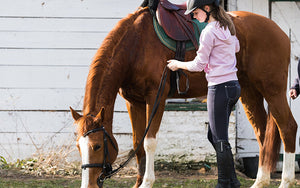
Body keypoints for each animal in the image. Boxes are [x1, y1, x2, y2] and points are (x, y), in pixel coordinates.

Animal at [70, 6, 298, 188]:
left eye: (97, 146)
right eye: (78, 147)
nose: (89, 186)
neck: (136, 44)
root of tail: (279, 32)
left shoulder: (156, 98)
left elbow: (149, 142)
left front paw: (147, 183)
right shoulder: (133, 102)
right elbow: (137, 143)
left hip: (273, 90)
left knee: (287, 128)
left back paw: (285, 182)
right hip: (249, 92)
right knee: (262, 134)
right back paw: (260, 181)